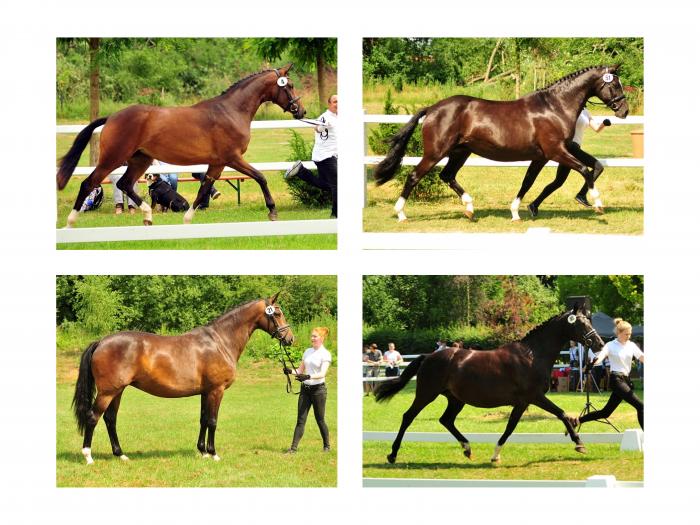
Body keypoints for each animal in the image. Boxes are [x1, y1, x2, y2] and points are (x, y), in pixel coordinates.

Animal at [60, 64, 308, 228]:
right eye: (290, 85)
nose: (301, 111)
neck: (230, 111)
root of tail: (112, 117)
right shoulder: (232, 158)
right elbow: (260, 177)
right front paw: (272, 211)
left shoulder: (217, 163)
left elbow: (204, 189)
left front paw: (187, 218)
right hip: (113, 158)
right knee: (89, 183)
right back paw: (71, 222)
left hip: (140, 160)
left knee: (125, 184)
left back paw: (148, 216)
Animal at [69, 292, 292, 464]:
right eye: (277, 313)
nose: (290, 338)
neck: (220, 341)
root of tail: (101, 342)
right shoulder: (216, 390)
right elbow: (213, 421)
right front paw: (213, 454)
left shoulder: (206, 392)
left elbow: (203, 419)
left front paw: (202, 451)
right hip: (108, 392)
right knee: (93, 417)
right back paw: (88, 456)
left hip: (118, 391)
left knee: (110, 419)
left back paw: (121, 455)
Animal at [374, 65, 632, 221]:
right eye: (614, 84)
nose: (624, 111)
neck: (554, 107)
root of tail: (433, 108)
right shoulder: (556, 151)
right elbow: (585, 170)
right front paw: (598, 203)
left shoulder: (541, 156)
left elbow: (528, 182)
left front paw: (516, 212)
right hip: (435, 153)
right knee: (414, 176)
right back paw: (401, 214)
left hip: (460, 152)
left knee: (447, 176)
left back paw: (469, 208)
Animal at [374, 304, 604, 464]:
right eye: (581, 323)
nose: (599, 344)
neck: (532, 356)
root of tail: (429, 357)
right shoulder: (534, 397)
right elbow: (561, 414)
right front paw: (580, 444)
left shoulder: (522, 403)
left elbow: (510, 427)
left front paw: (495, 456)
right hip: (426, 394)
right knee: (408, 417)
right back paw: (392, 455)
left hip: (455, 399)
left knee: (446, 420)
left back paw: (467, 448)